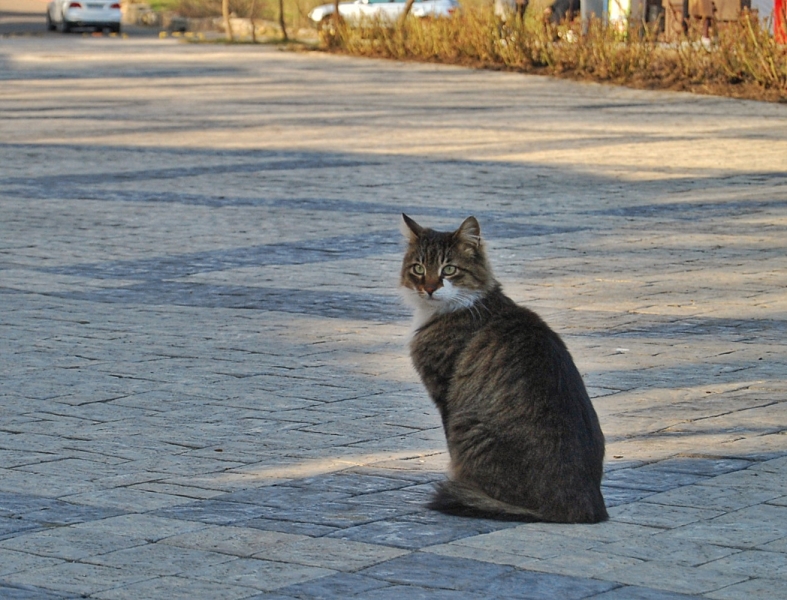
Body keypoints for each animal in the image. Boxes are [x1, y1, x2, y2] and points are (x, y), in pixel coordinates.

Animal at [400, 213, 608, 524]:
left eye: (449, 269)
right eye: (419, 268)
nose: (429, 288)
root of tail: (585, 508)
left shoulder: (445, 392)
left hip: (469, 427)